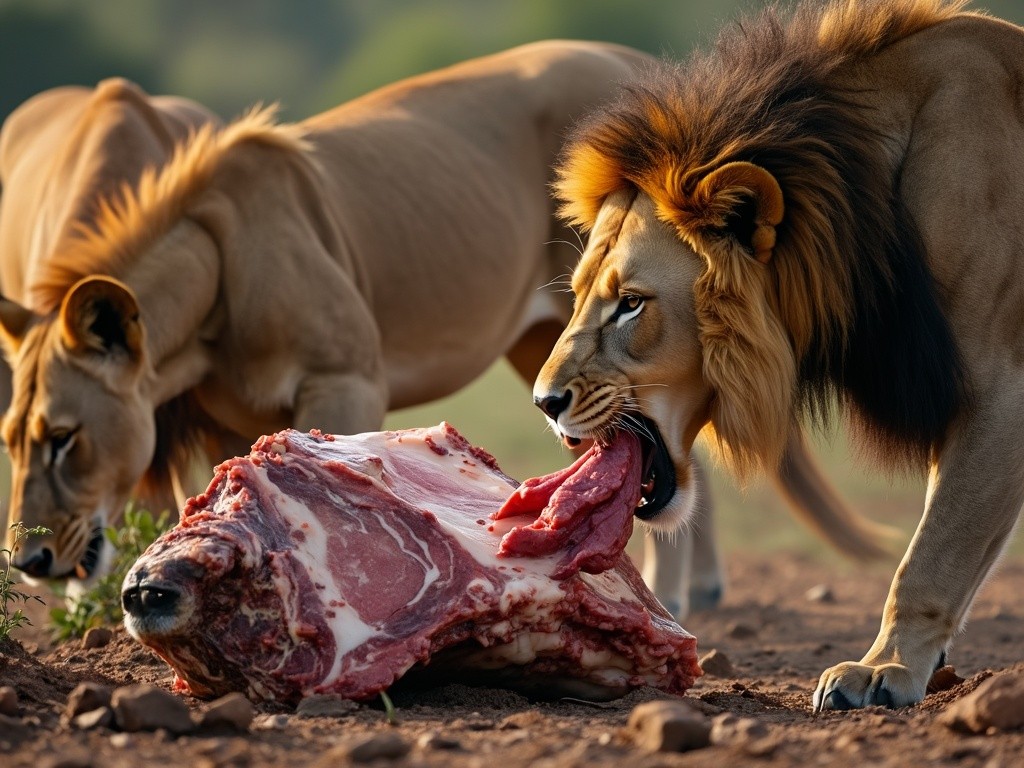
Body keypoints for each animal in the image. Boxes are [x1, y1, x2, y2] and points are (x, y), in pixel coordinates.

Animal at [536, 0, 1015, 712]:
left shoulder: (1002, 391)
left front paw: (884, 669)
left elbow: (932, 552)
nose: (544, 402)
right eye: (577, 295)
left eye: (630, 303)